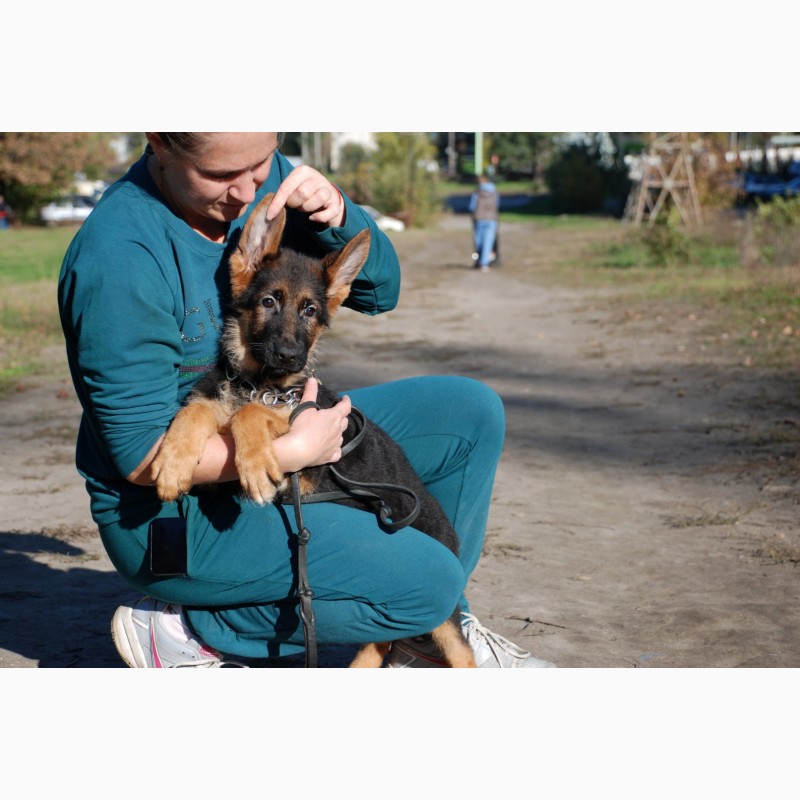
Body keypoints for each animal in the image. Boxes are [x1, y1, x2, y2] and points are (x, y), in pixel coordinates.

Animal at [150, 195, 476, 668]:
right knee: (380, 639)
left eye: (309, 311)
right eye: (269, 301)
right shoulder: (221, 411)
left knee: (460, 653)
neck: (260, 384)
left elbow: (253, 416)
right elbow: (197, 412)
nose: (289, 356)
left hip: (445, 614)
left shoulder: (303, 456)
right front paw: (173, 463)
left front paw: (255, 466)